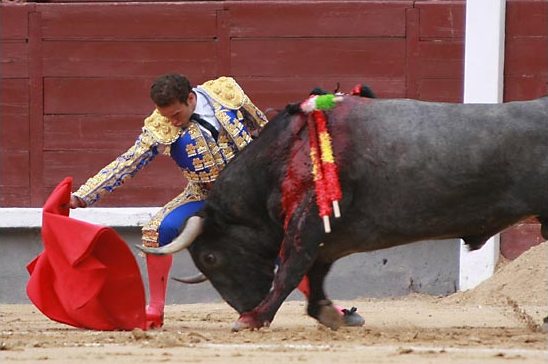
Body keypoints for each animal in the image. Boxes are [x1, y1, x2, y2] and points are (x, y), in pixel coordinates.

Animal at [141, 96, 548, 330]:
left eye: (211, 257)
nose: (244, 306)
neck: (286, 153)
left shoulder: (306, 223)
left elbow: (290, 269)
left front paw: (254, 319)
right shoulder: (325, 233)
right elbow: (314, 273)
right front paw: (330, 314)